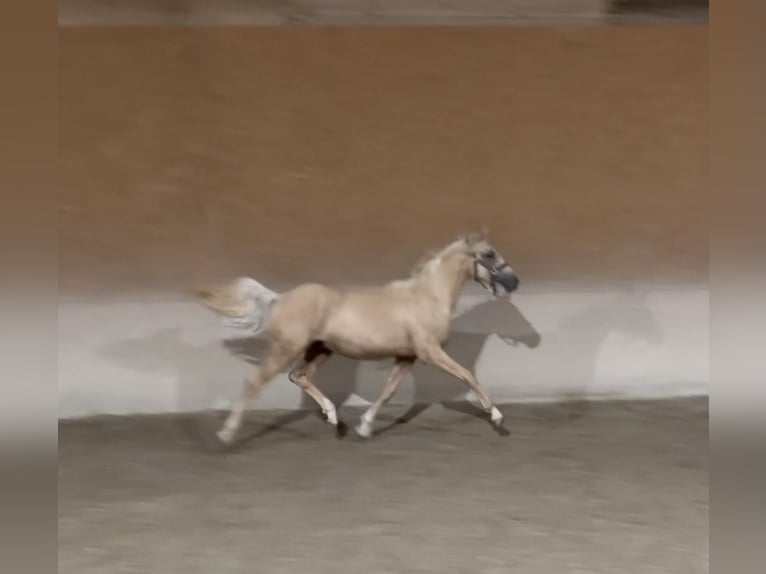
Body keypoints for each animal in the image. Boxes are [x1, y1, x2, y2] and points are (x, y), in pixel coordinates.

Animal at [195, 231, 520, 446]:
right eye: (488, 254)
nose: (514, 281)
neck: (427, 298)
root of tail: (280, 298)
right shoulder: (430, 353)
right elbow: (468, 376)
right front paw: (497, 417)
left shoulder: (407, 356)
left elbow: (388, 391)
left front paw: (364, 427)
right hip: (286, 349)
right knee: (254, 383)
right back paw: (227, 434)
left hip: (319, 350)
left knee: (298, 376)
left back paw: (333, 417)